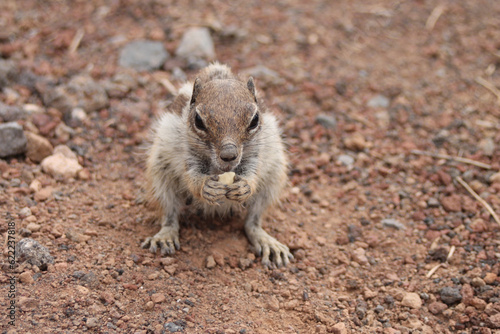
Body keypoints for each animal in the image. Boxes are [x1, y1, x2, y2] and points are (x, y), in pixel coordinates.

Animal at [141, 62, 292, 266]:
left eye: (254, 120)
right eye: (198, 121)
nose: (229, 155)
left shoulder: (256, 152)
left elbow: (253, 170)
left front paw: (244, 187)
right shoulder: (187, 153)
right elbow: (191, 176)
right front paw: (206, 187)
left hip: (273, 178)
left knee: (252, 221)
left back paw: (266, 240)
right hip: (160, 173)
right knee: (169, 213)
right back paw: (165, 235)